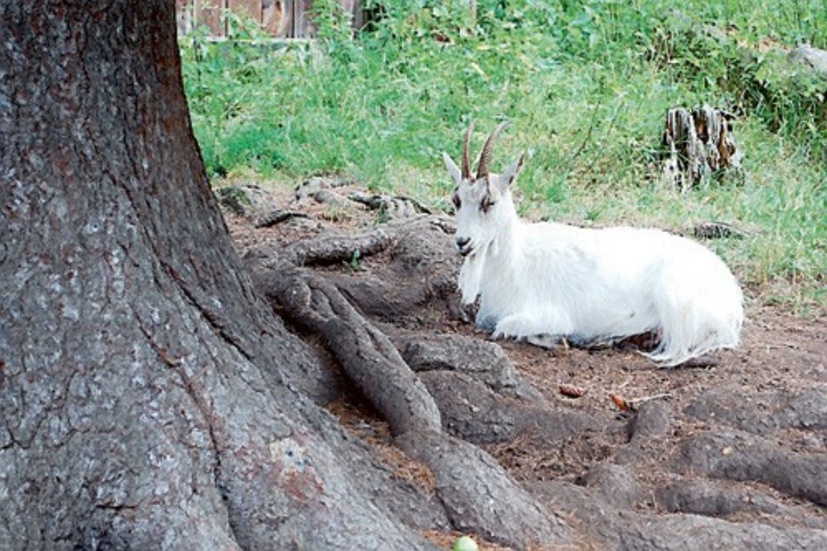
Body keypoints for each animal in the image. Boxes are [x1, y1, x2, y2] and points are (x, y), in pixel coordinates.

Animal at [444, 123, 748, 368]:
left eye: (489, 201)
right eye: (456, 200)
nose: (462, 242)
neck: (515, 260)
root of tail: (731, 297)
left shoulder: (546, 314)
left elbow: (504, 327)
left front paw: (557, 339)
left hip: (674, 296)